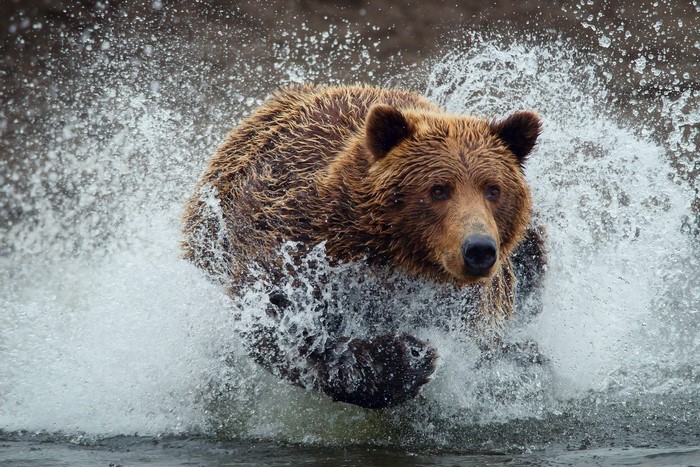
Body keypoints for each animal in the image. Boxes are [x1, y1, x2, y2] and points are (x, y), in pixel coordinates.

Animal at [182, 84, 544, 409]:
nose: (479, 249)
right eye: (438, 189)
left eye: (493, 189)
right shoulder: (296, 243)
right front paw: (406, 357)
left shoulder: (468, 303)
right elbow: (278, 321)